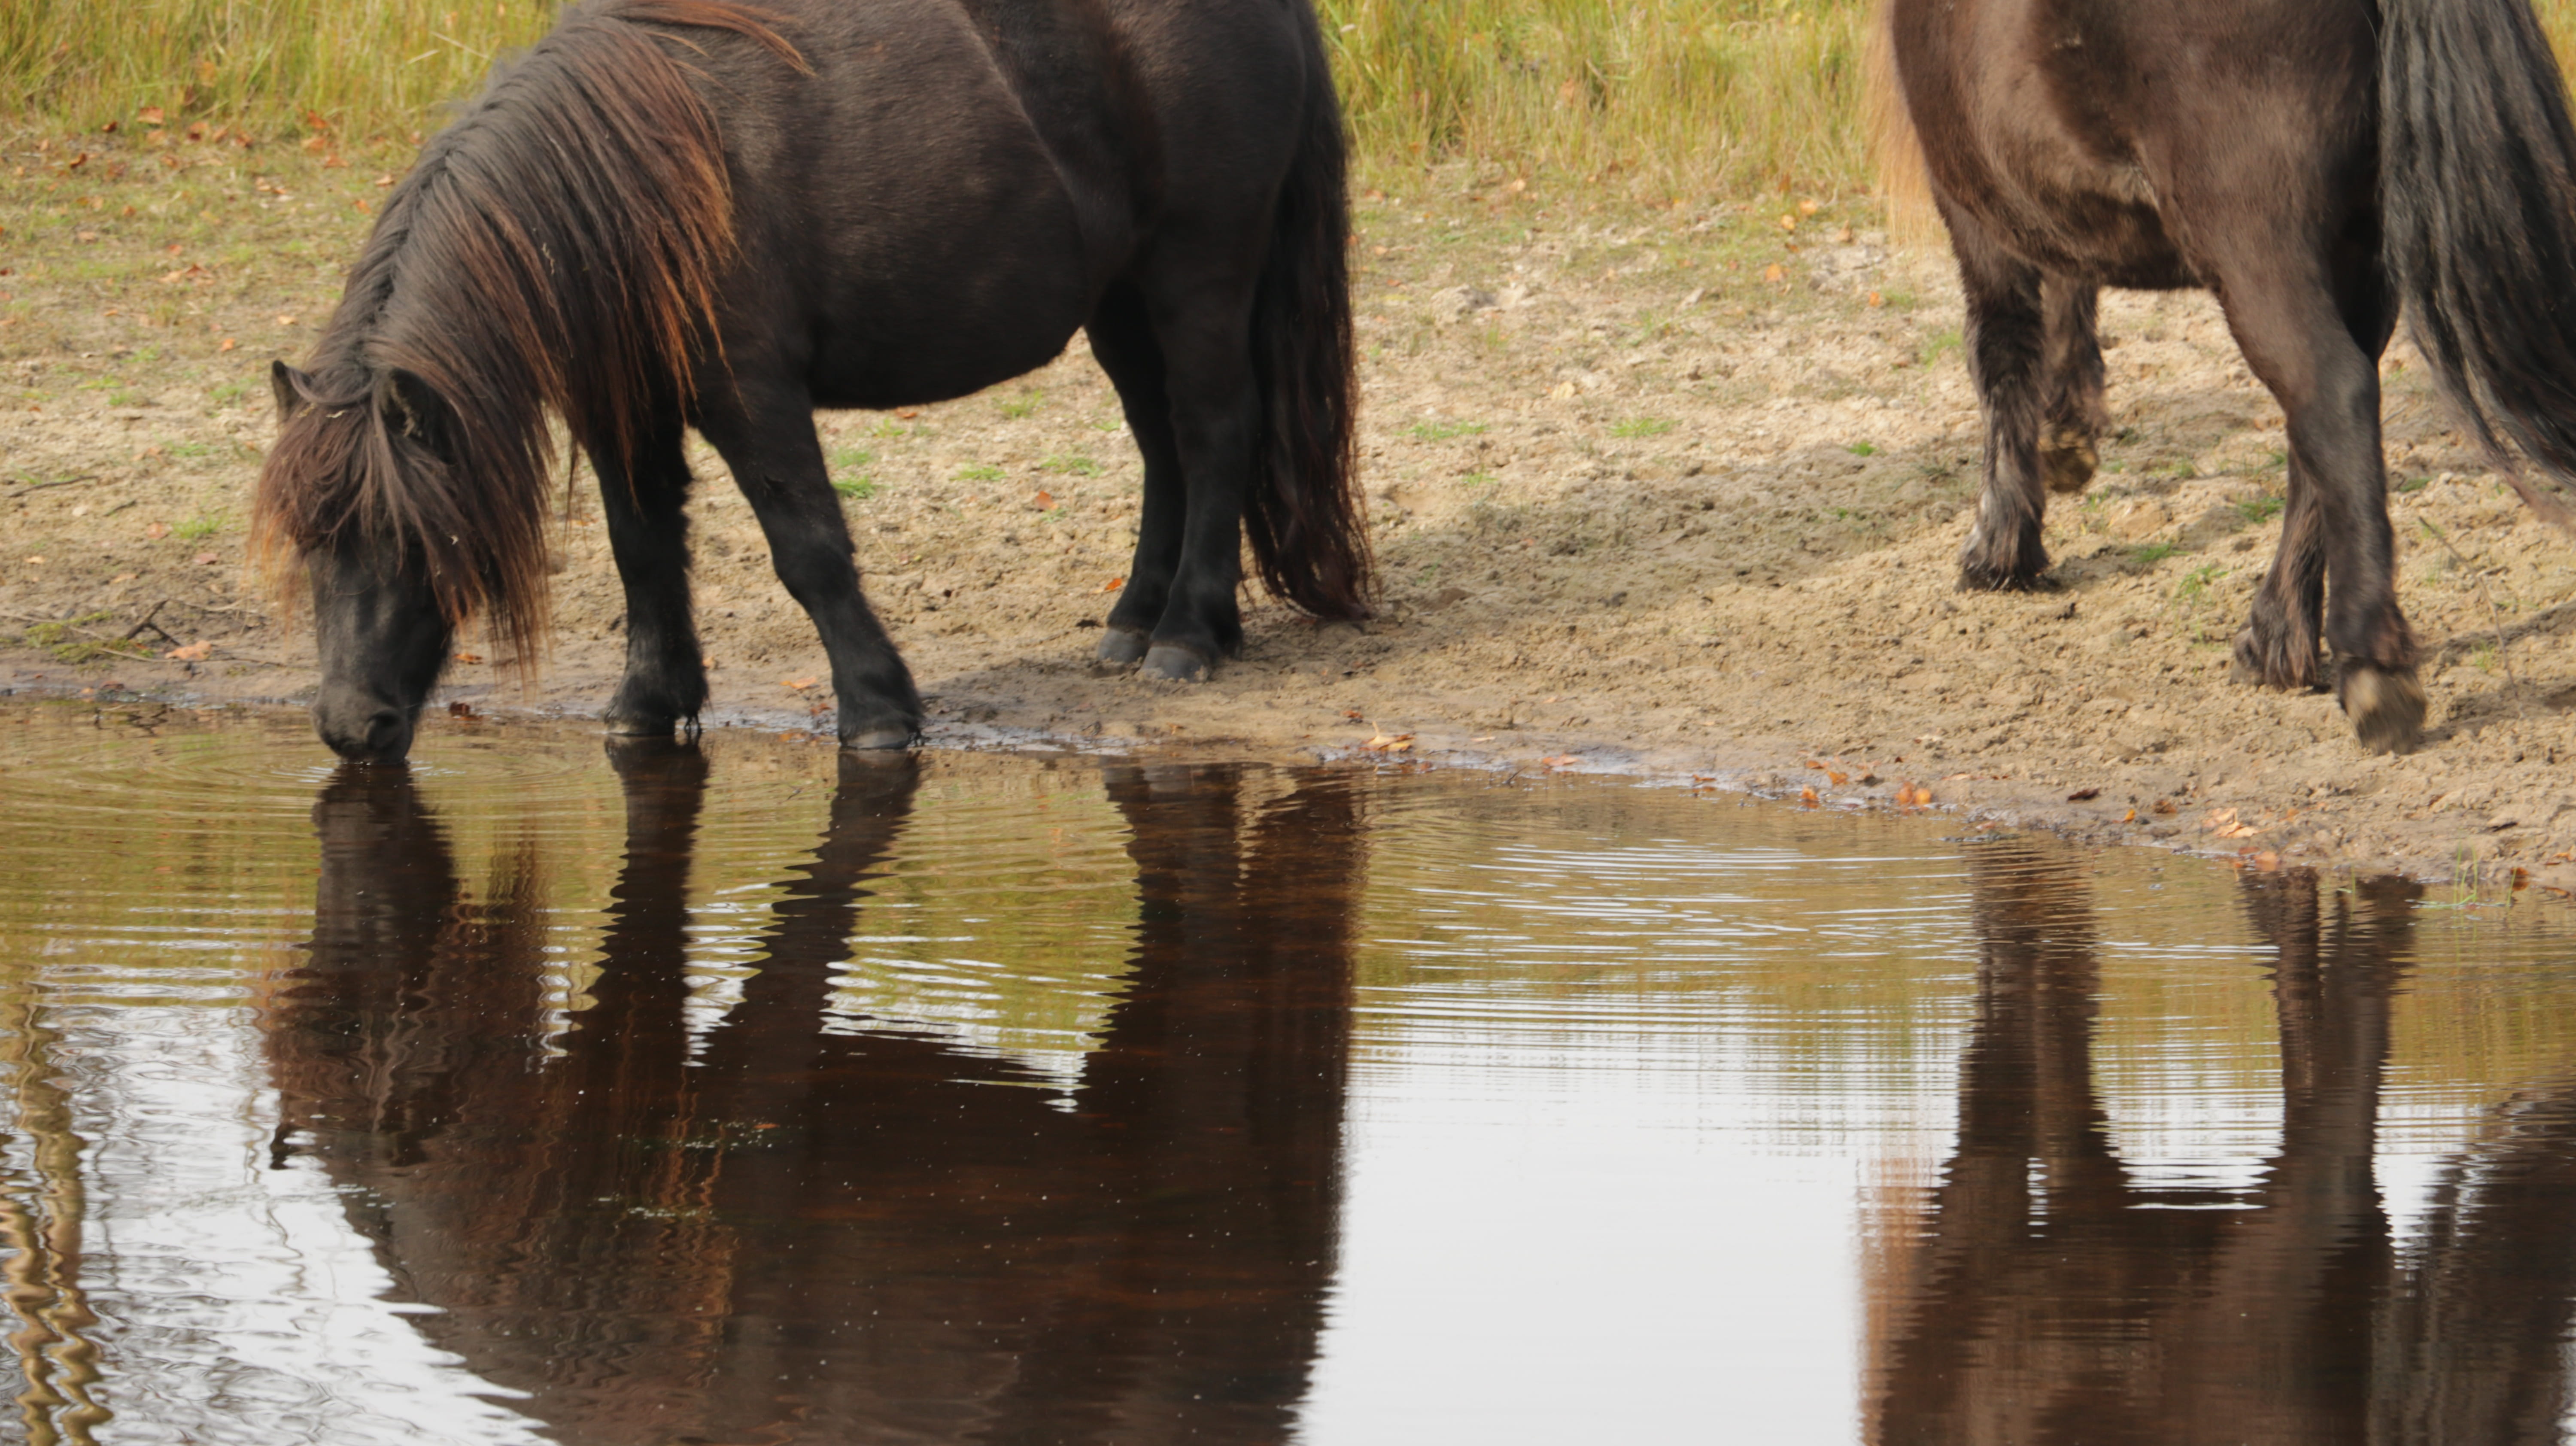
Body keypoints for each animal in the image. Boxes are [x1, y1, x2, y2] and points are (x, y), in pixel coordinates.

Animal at [254, 0, 1369, 763]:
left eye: (411, 536)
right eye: (311, 541)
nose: (350, 727)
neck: (640, 179)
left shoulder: (753, 396)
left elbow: (810, 551)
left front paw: (877, 710)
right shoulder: (627, 411)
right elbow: (642, 551)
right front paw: (648, 705)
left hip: (1198, 272)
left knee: (1215, 435)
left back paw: (1187, 635)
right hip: (1122, 295)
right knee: (1160, 443)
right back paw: (1134, 622)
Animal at [1886, 0, 2576, 754]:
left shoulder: (1974, 206)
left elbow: (2002, 350)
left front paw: (2000, 546)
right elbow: (2069, 287)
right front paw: (2065, 440)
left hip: (2257, 242)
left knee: (2333, 394)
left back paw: (2370, 667)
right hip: (2356, 253)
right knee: (2323, 426)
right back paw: (2276, 641)